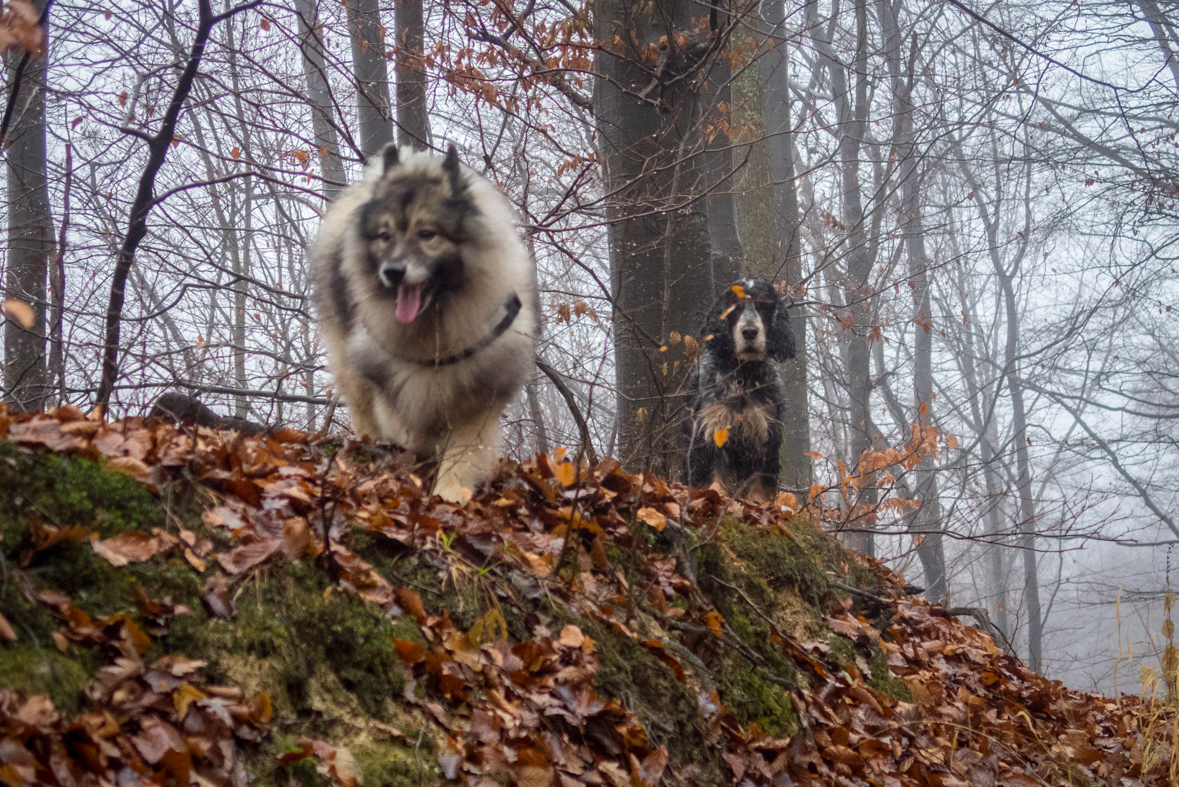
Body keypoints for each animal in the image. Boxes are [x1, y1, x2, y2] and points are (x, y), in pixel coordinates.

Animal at [308, 144, 539, 501]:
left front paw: (450, 492)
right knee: (362, 407)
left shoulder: (478, 394)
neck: (435, 325)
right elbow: (413, 433)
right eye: (385, 236)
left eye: (427, 234)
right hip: (350, 359)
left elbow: (462, 451)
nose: (392, 271)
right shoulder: (396, 383)